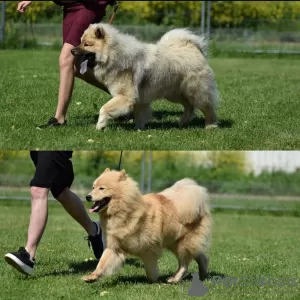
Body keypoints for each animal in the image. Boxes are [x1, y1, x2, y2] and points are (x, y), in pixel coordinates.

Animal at [83, 169, 212, 284]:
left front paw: (153, 280)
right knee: (200, 256)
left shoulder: (149, 249)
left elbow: (150, 269)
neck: (126, 211)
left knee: (184, 264)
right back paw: (202, 274)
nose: (87, 196)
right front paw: (92, 277)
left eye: (102, 188)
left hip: (183, 243)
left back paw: (174, 279)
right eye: (93, 187)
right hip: (175, 242)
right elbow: (102, 263)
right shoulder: (114, 246)